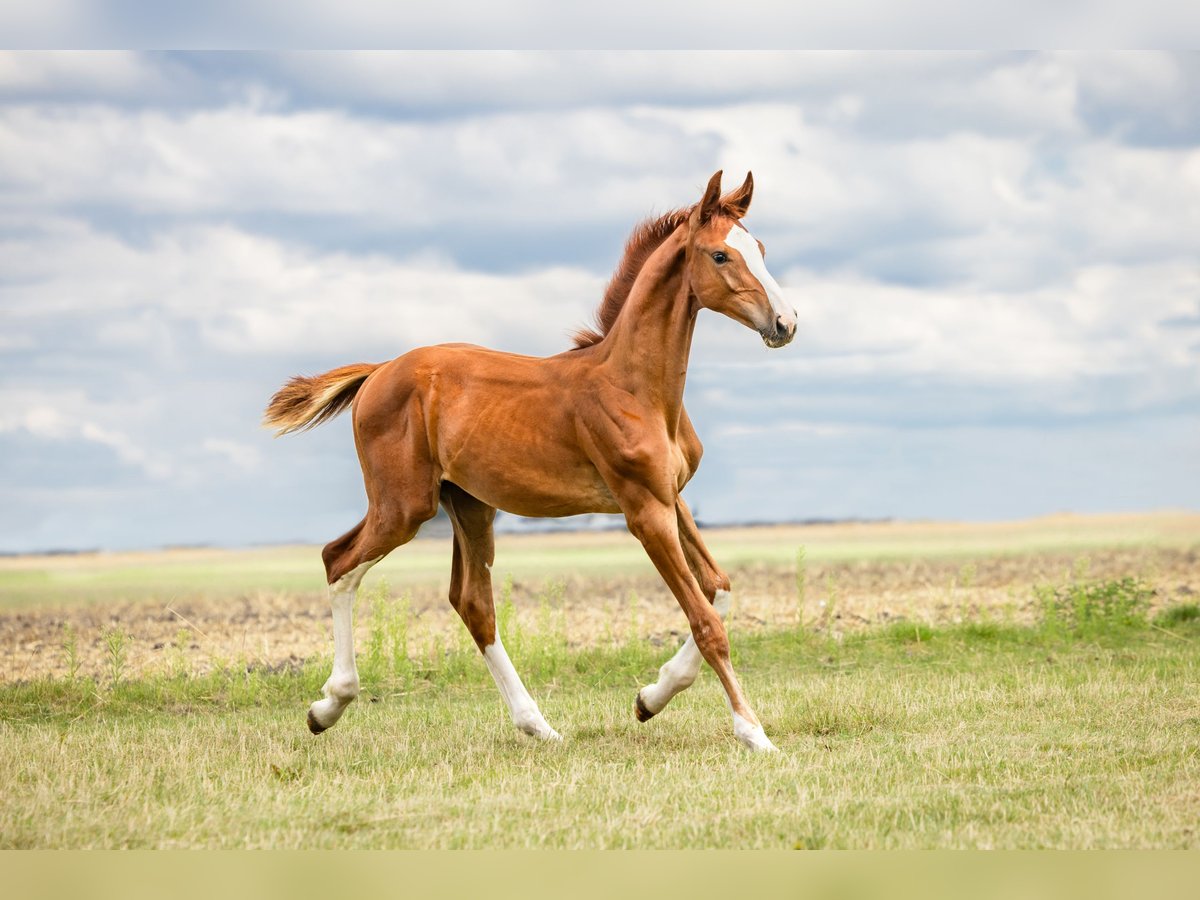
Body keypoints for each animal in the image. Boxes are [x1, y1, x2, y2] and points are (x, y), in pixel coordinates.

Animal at [267, 170, 801, 753]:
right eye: (720, 255)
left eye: (761, 248)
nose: (785, 322)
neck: (634, 387)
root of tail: (380, 371)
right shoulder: (643, 511)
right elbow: (708, 623)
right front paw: (753, 732)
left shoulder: (672, 498)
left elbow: (719, 589)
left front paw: (650, 697)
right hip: (404, 504)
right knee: (338, 561)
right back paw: (328, 706)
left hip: (468, 504)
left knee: (471, 602)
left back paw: (537, 725)